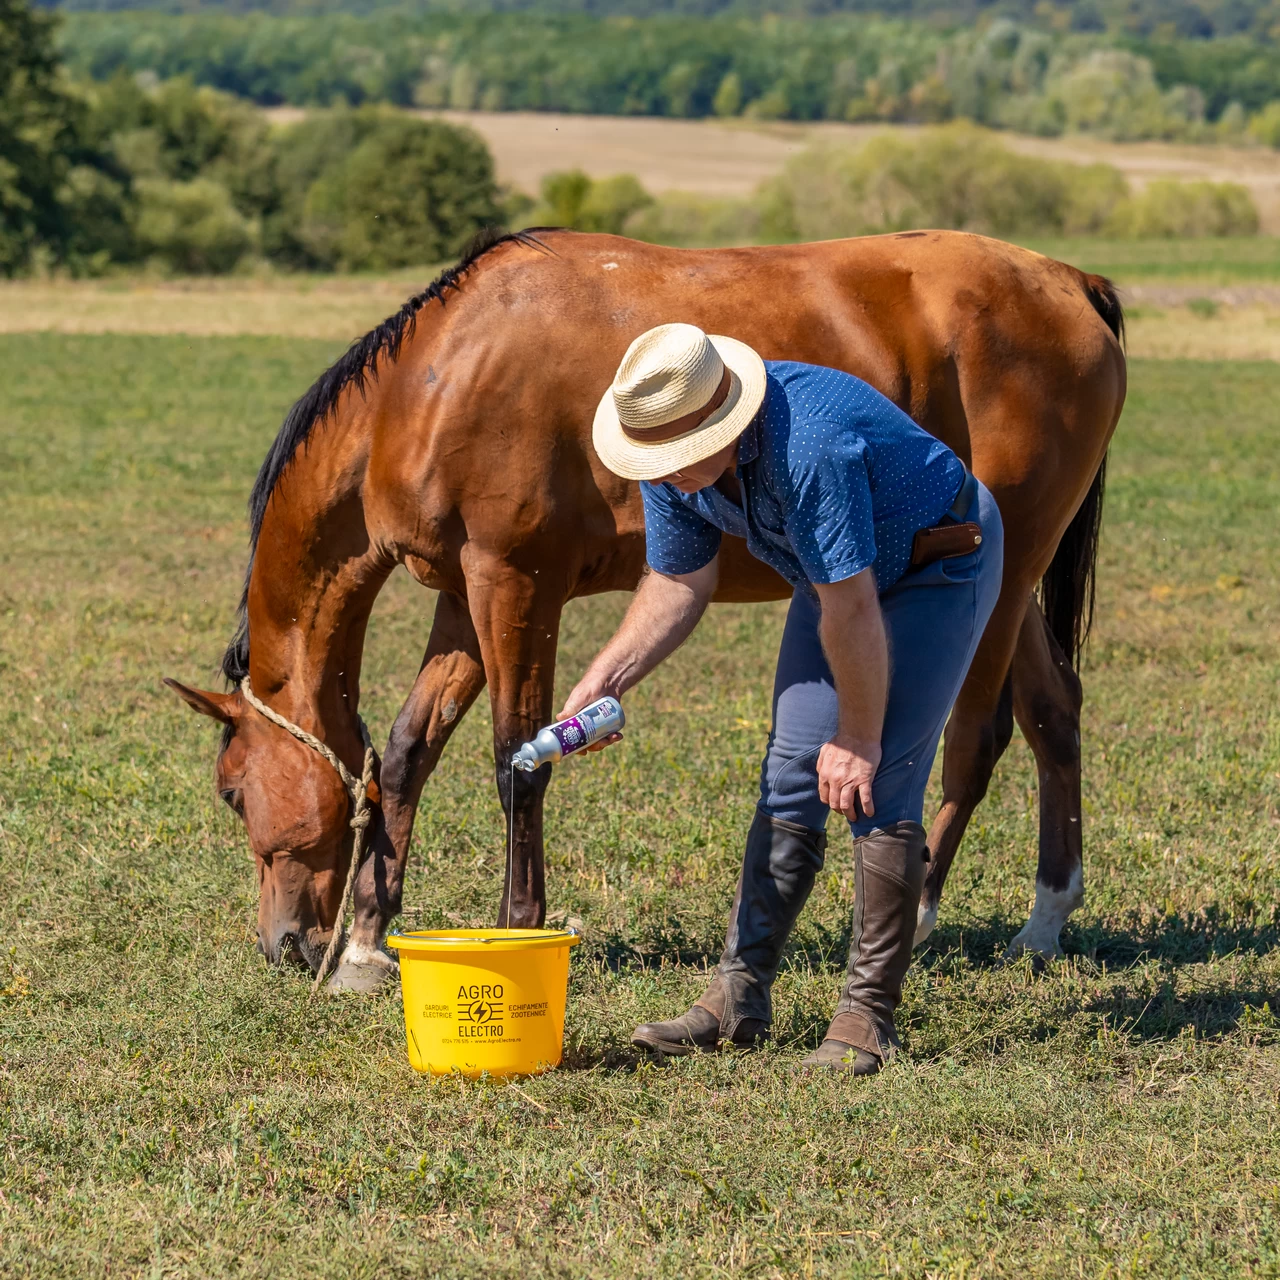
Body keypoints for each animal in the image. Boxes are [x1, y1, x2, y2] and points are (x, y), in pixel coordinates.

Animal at [165, 228, 1125, 993]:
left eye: (230, 792)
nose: (285, 944)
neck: (435, 377)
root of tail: (1071, 280)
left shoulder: (517, 582)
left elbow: (518, 763)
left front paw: (516, 927)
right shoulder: (464, 599)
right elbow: (405, 755)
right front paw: (366, 947)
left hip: (1006, 569)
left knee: (976, 739)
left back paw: (920, 915)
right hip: (993, 566)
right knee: (1053, 713)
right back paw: (1044, 923)